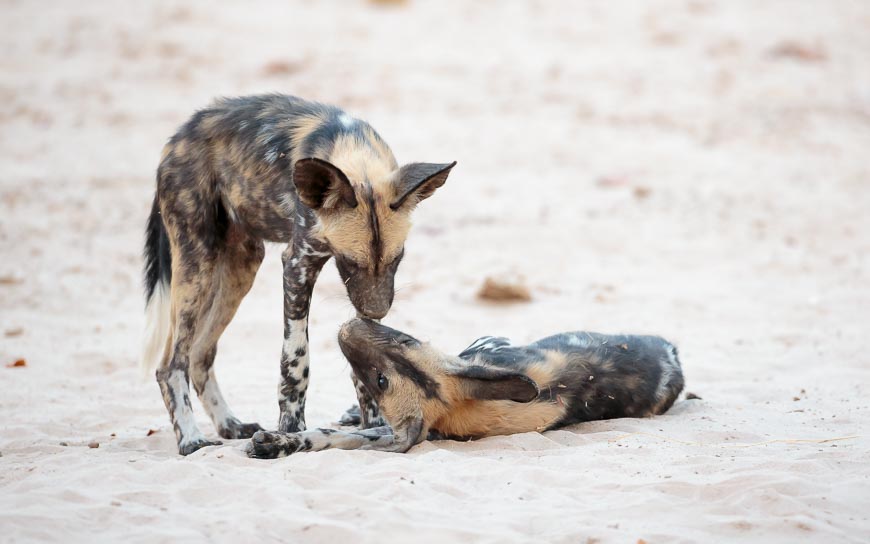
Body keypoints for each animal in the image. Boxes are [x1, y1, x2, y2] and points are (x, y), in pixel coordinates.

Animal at [141, 95, 456, 454]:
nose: (379, 311)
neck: (354, 154)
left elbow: (365, 357)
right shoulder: (298, 265)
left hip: (240, 267)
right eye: (349, 261)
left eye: (397, 259)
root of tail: (179, 137)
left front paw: (373, 422)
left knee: (199, 355)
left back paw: (230, 425)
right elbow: (295, 360)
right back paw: (191, 438)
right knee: (171, 364)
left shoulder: (366, 291)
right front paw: (291, 429)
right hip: (198, 265)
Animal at [246, 318, 685, 458]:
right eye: (406, 339)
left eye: (381, 380)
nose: (350, 325)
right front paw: (278, 443)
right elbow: (327, 436)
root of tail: (673, 353)